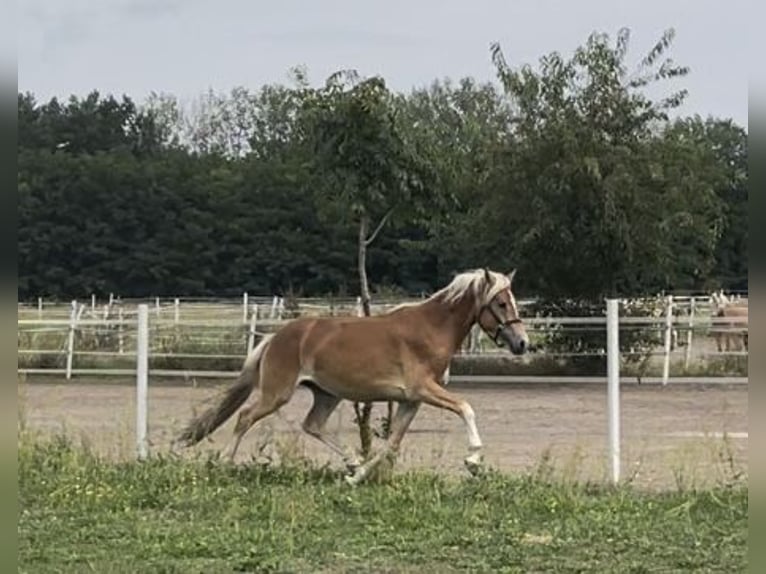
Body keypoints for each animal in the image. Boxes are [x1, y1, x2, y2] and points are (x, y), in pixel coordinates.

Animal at [178, 268, 532, 486]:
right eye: (501, 302)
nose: (522, 343)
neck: (431, 329)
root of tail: (275, 337)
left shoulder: (411, 400)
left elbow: (391, 443)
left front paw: (357, 478)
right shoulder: (423, 389)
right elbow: (465, 407)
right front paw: (473, 460)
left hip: (326, 393)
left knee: (312, 425)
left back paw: (352, 464)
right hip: (277, 393)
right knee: (245, 417)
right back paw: (225, 463)